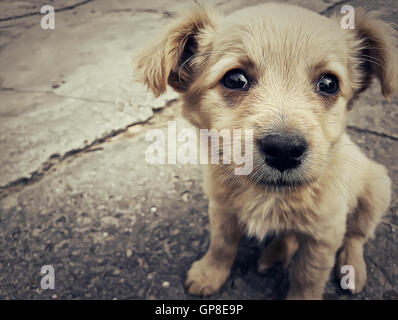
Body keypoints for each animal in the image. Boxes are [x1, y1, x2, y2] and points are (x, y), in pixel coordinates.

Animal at [135, 2, 396, 298]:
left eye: (329, 84)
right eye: (235, 79)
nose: (284, 150)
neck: (269, 195)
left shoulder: (325, 234)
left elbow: (307, 277)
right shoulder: (222, 208)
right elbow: (221, 244)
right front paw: (209, 273)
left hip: (377, 190)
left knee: (356, 236)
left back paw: (352, 268)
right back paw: (276, 254)